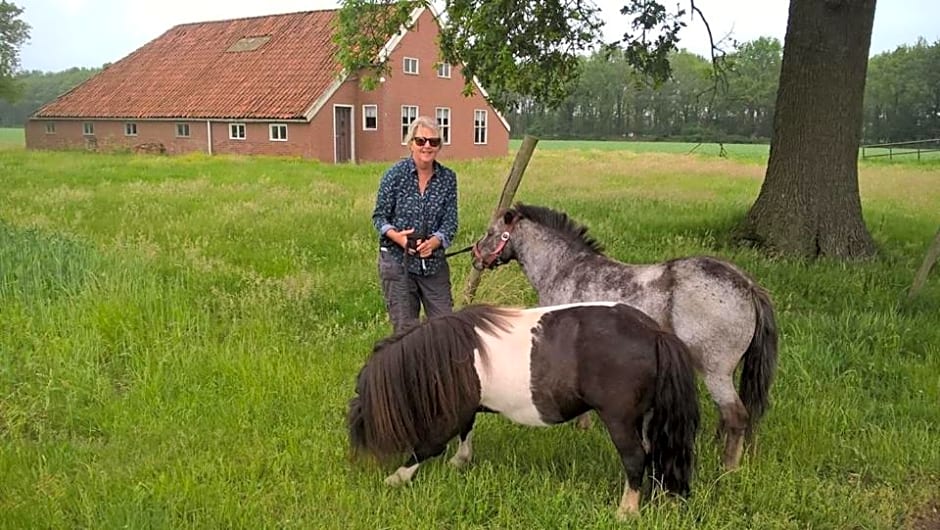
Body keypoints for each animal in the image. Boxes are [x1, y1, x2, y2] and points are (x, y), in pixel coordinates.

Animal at [348, 302, 700, 516]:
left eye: (360, 406)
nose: (357, 456)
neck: (445, 355)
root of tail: (652, 332)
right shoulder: (466, 408)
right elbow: (466, 430)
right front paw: (461, 461)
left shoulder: (448, 417)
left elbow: (428, 447)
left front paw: (397, 477)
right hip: (645, 417)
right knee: (653, 453)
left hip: (620, 419)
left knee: (635, 458)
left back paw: (626, 511)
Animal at [470, 202, 780, 466]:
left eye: (492, 232)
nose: (476, 257)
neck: (564, 269)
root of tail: (748, 285)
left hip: (714, 370)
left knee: (736, 416)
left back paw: (727, 468)